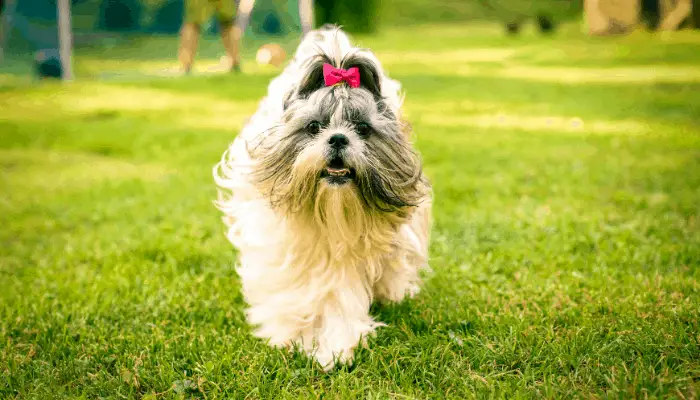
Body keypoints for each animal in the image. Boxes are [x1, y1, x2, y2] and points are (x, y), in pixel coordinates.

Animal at [213, 25, 432, 370]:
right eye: (314, 126)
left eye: (362, 129)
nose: (339, 138)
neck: (332, 215)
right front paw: (292, 335)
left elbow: (340, 301)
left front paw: (334, 348)